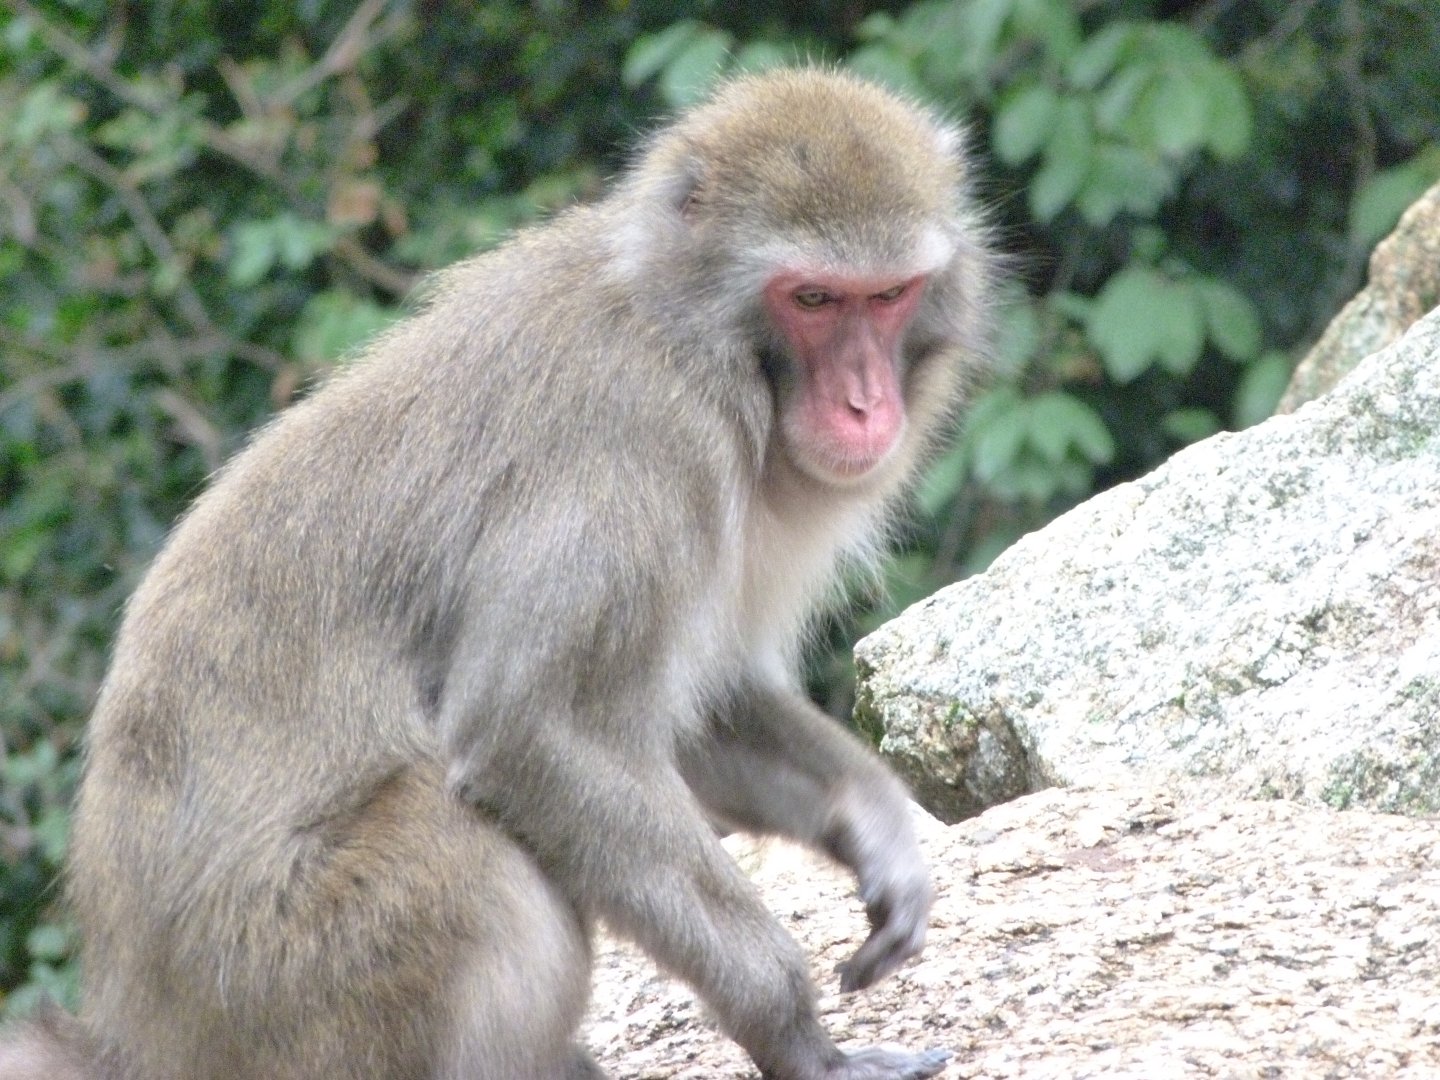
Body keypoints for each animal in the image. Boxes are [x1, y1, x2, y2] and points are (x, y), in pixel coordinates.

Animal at [0, 67, 994, 1080]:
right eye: (814, 300)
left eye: (889, 296)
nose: (864, 406)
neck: (687, 336)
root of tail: (136, 1039)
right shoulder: (635, 445)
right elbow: (534, 732)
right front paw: (801, 1040)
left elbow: (702, 707)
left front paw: (879, 825)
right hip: (295, 991)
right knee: (466, 851)